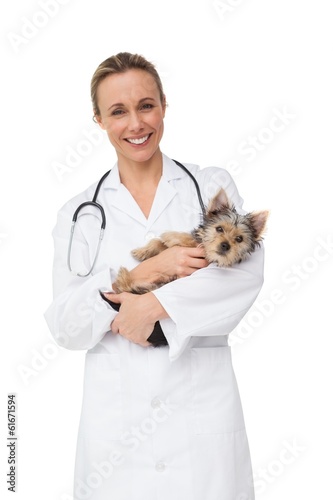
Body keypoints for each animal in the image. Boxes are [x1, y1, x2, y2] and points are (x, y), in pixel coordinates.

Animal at [113, 189, 268, 294]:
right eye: (219, 229)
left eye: (239, 239)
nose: (225, 245)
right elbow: (158, 243)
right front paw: (142, 251)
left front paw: (171, 235)